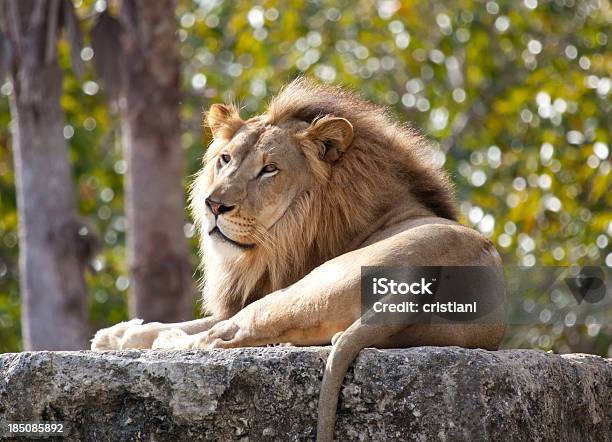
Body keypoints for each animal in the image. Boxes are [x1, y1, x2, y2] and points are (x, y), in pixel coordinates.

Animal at [93, 77, 506, 440]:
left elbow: (200, 324)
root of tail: (422, 279)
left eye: (268, 169)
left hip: (304, 289)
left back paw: (170, 345)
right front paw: (114, 335)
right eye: (225, 159)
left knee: (222, 338)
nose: (214, 205)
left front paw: (121, 336)